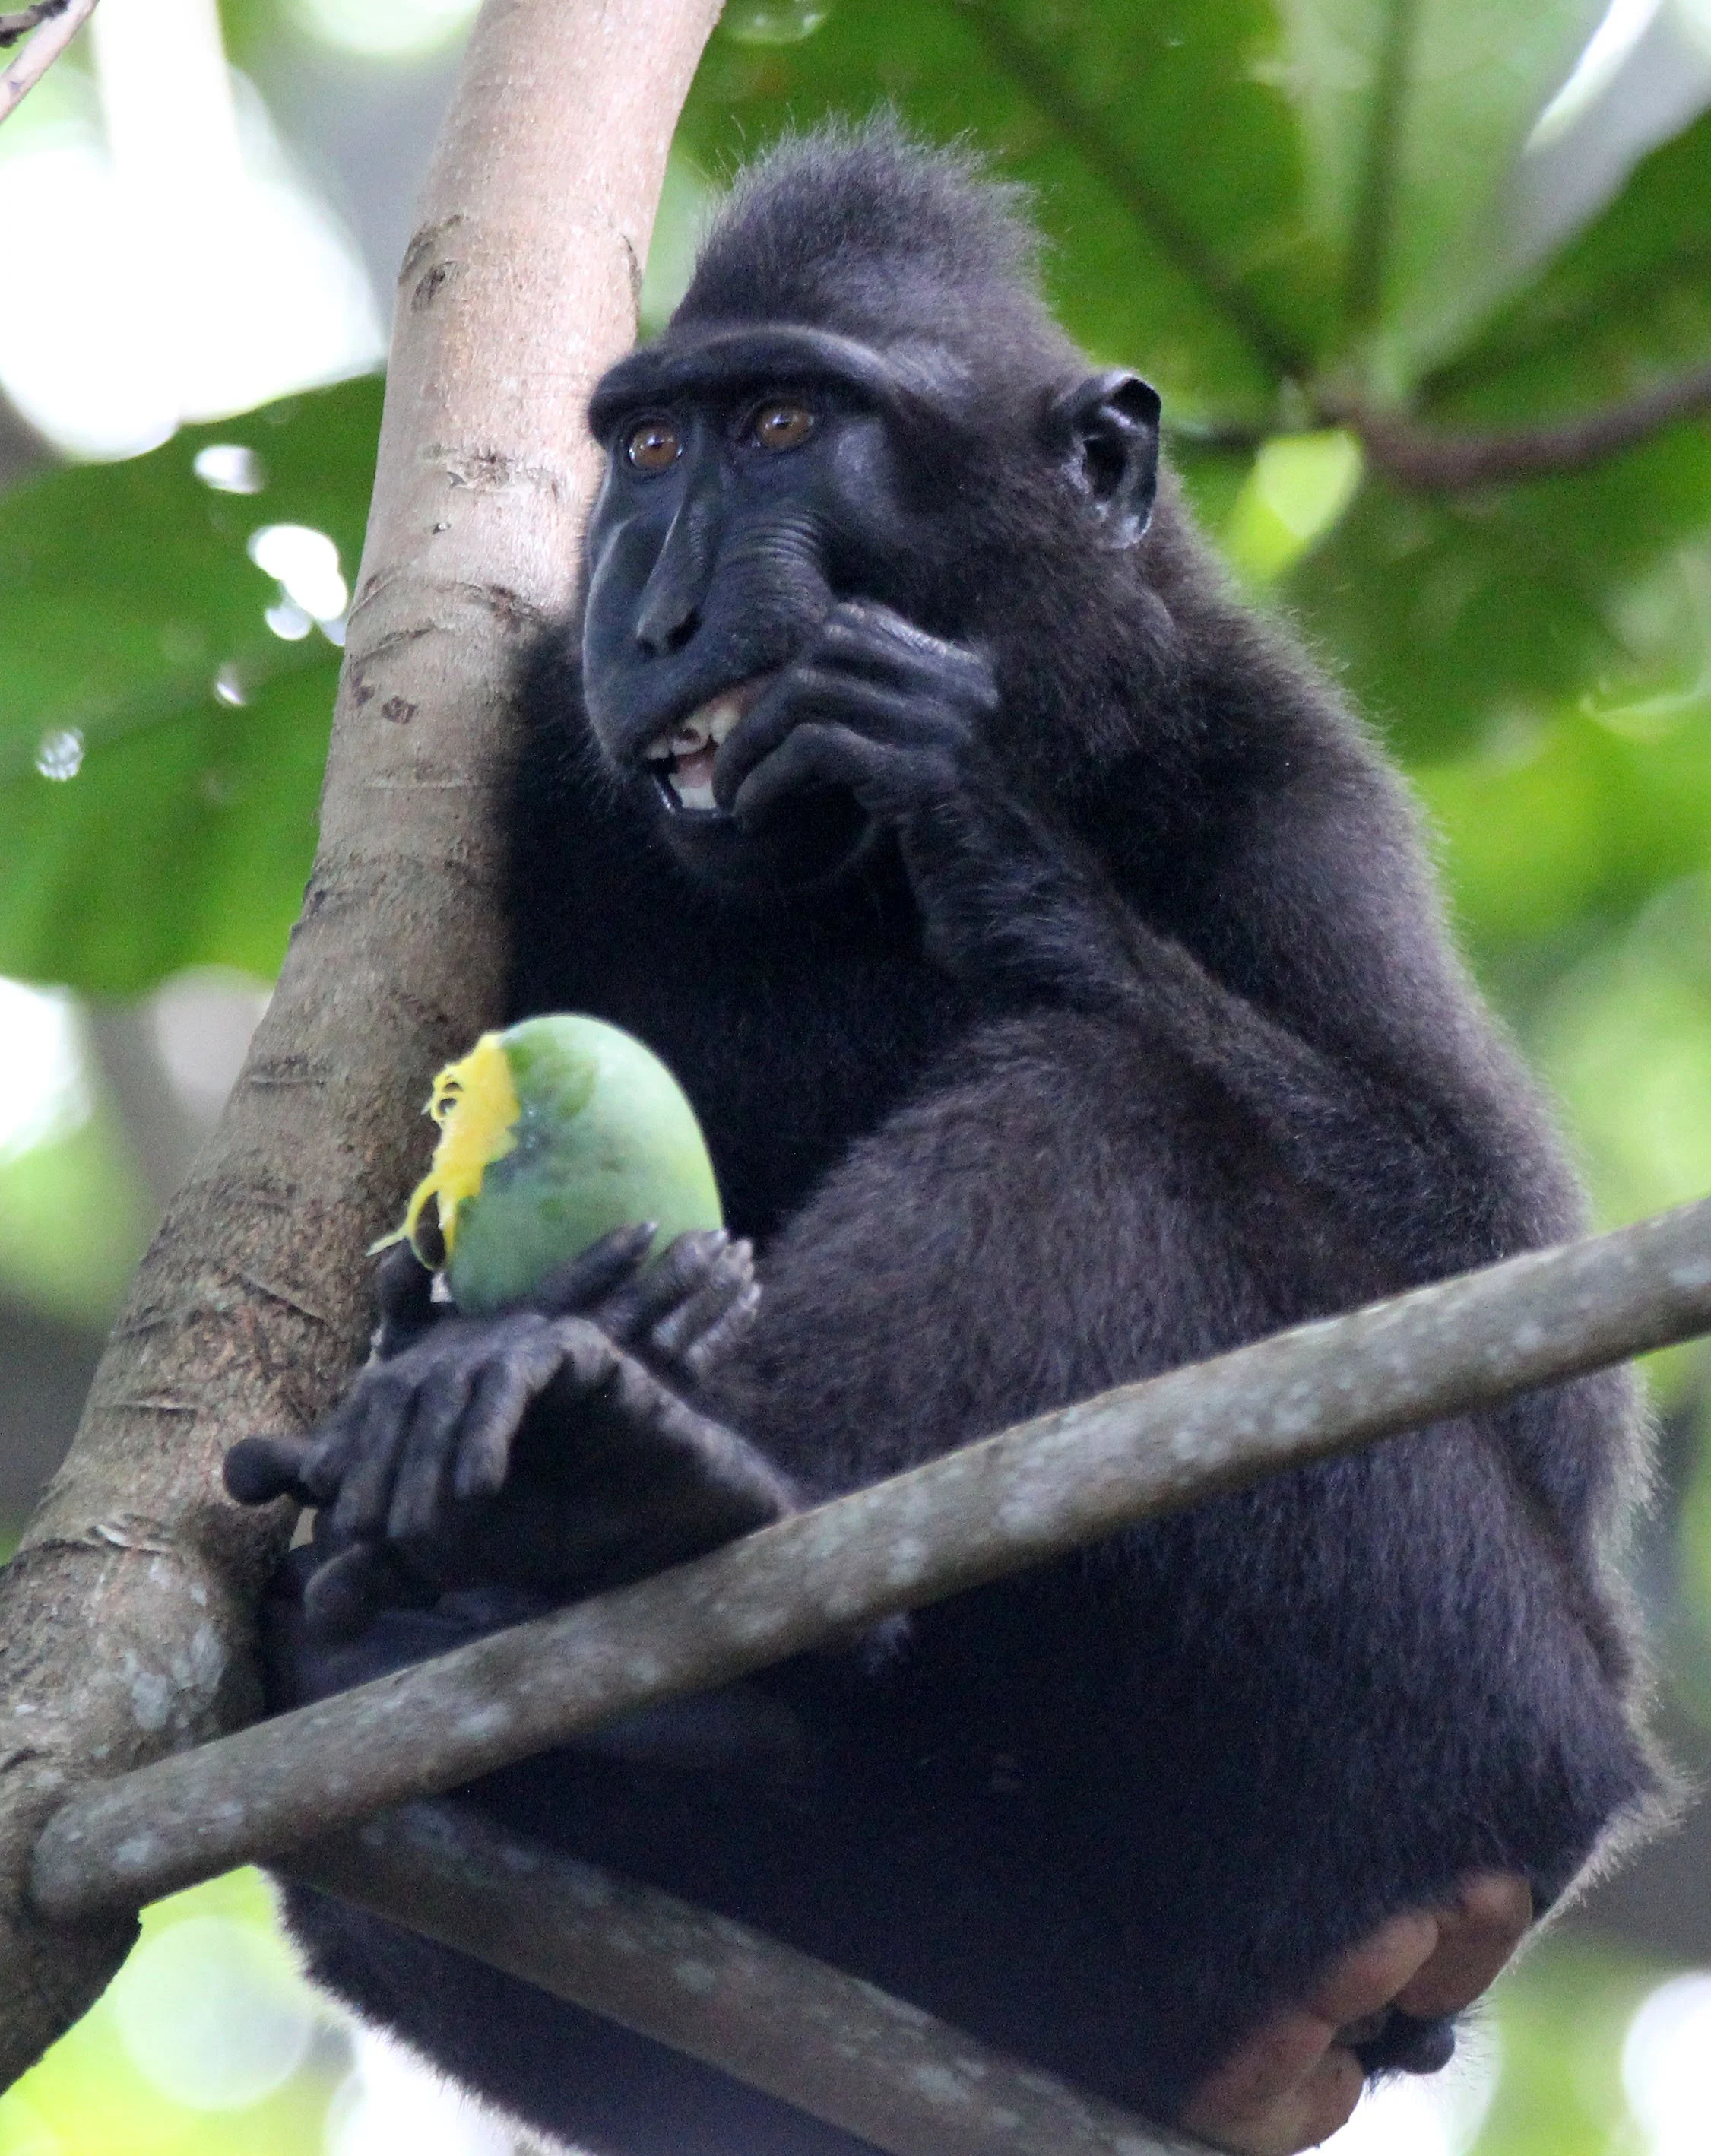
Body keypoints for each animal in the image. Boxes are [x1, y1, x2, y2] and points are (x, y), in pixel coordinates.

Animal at [227, 122, 1659, 2156]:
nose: (655, 616)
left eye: (781, 424)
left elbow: (1530, 1336)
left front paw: (979, 820)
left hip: (1476, 1716)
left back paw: (644, 1462)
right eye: (646, 450)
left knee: (1108, 1116)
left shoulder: (1289, 784)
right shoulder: (528, 759)